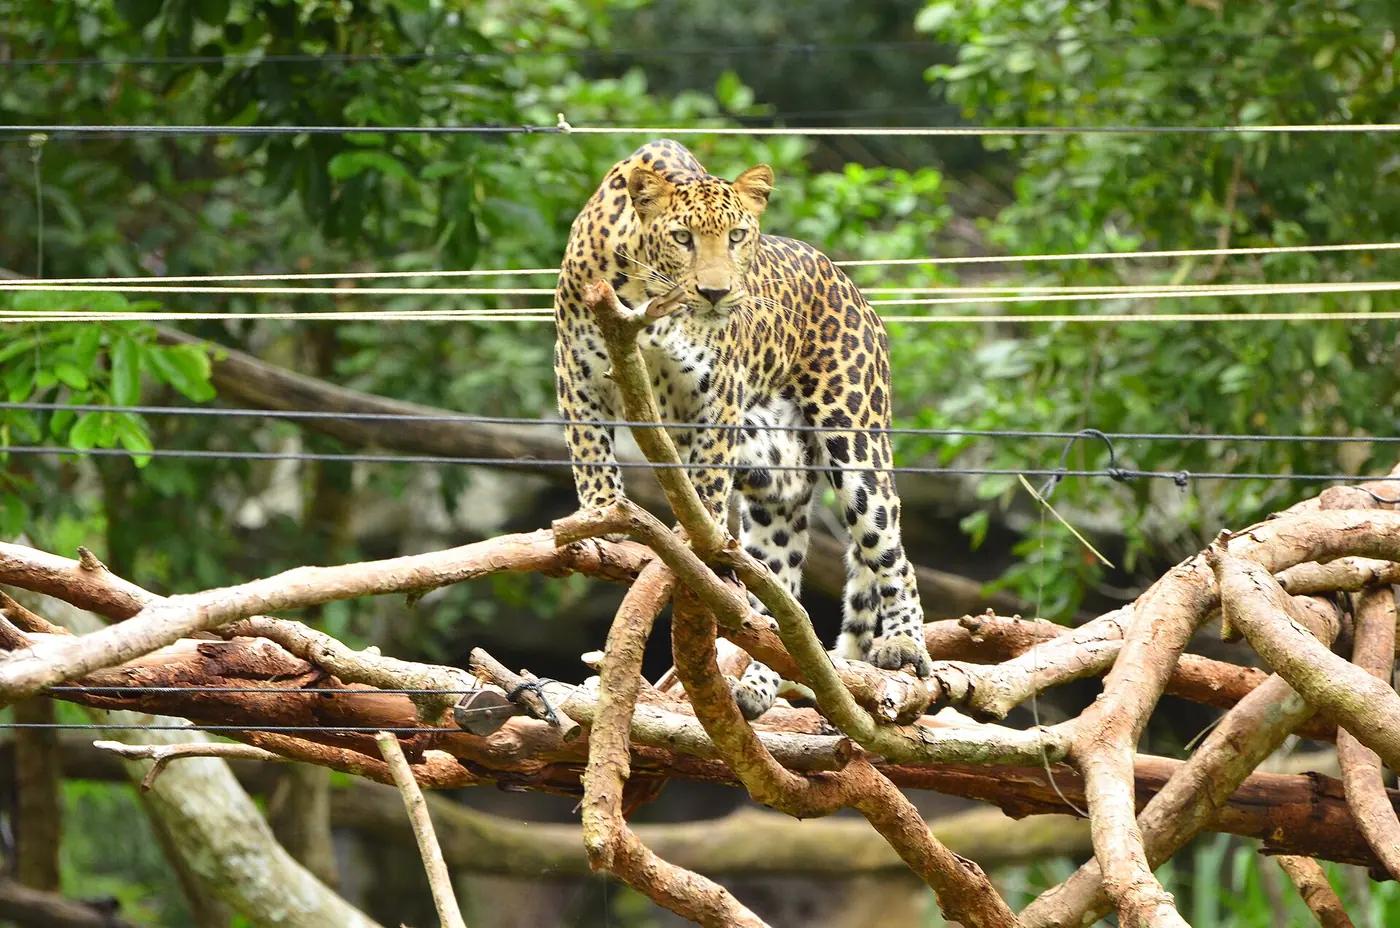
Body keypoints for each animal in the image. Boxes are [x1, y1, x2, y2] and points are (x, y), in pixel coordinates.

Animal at [553, 139, 932, 719]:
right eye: (682, 238)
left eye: (736, 236)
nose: (716, 292)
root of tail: (854, 290)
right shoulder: (577, 371)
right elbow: (591, 454)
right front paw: (602, 518)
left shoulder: (714, 398)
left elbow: (705, 489)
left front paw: (698, 549)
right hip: (777, 475)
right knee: (782, 597)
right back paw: (759, 684)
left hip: (855, 439)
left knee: (889, 548)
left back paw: (903, 643)